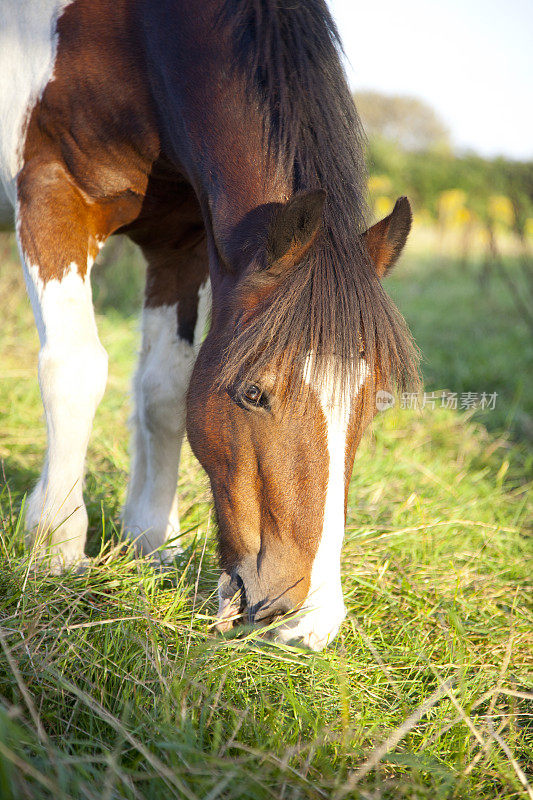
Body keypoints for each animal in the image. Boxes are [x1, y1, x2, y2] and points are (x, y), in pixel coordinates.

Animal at [1, 0, 420, 648]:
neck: (137, 40)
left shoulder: (183, 242)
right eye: (252, 393)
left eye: (371, 401)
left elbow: (164, 390)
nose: (307, 621)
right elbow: (75, 369)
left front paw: (151, 538)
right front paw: (55, 544)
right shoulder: (49, 192)